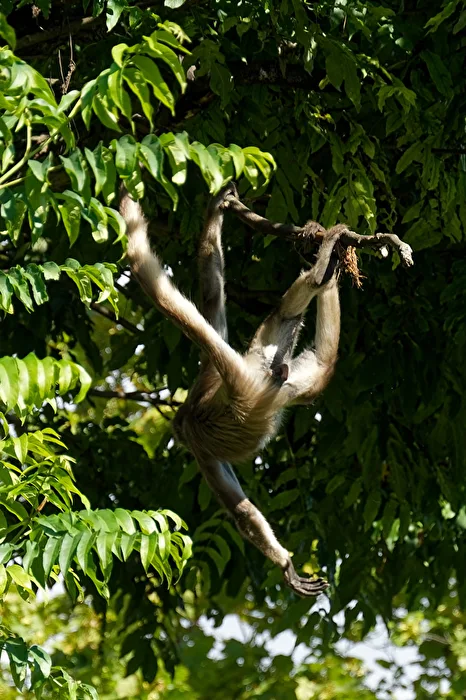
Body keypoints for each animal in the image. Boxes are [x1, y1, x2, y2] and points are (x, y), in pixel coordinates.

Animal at [120, 183, 341, 597]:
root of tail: (258, 375)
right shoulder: (209, 374)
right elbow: (212, 295)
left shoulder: (200, 447)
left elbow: (240, 510)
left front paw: (285, 565)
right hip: (279, 371)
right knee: (315, 355)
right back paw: (328, 268)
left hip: (242, 379)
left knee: (160, 290)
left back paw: (320, 271)